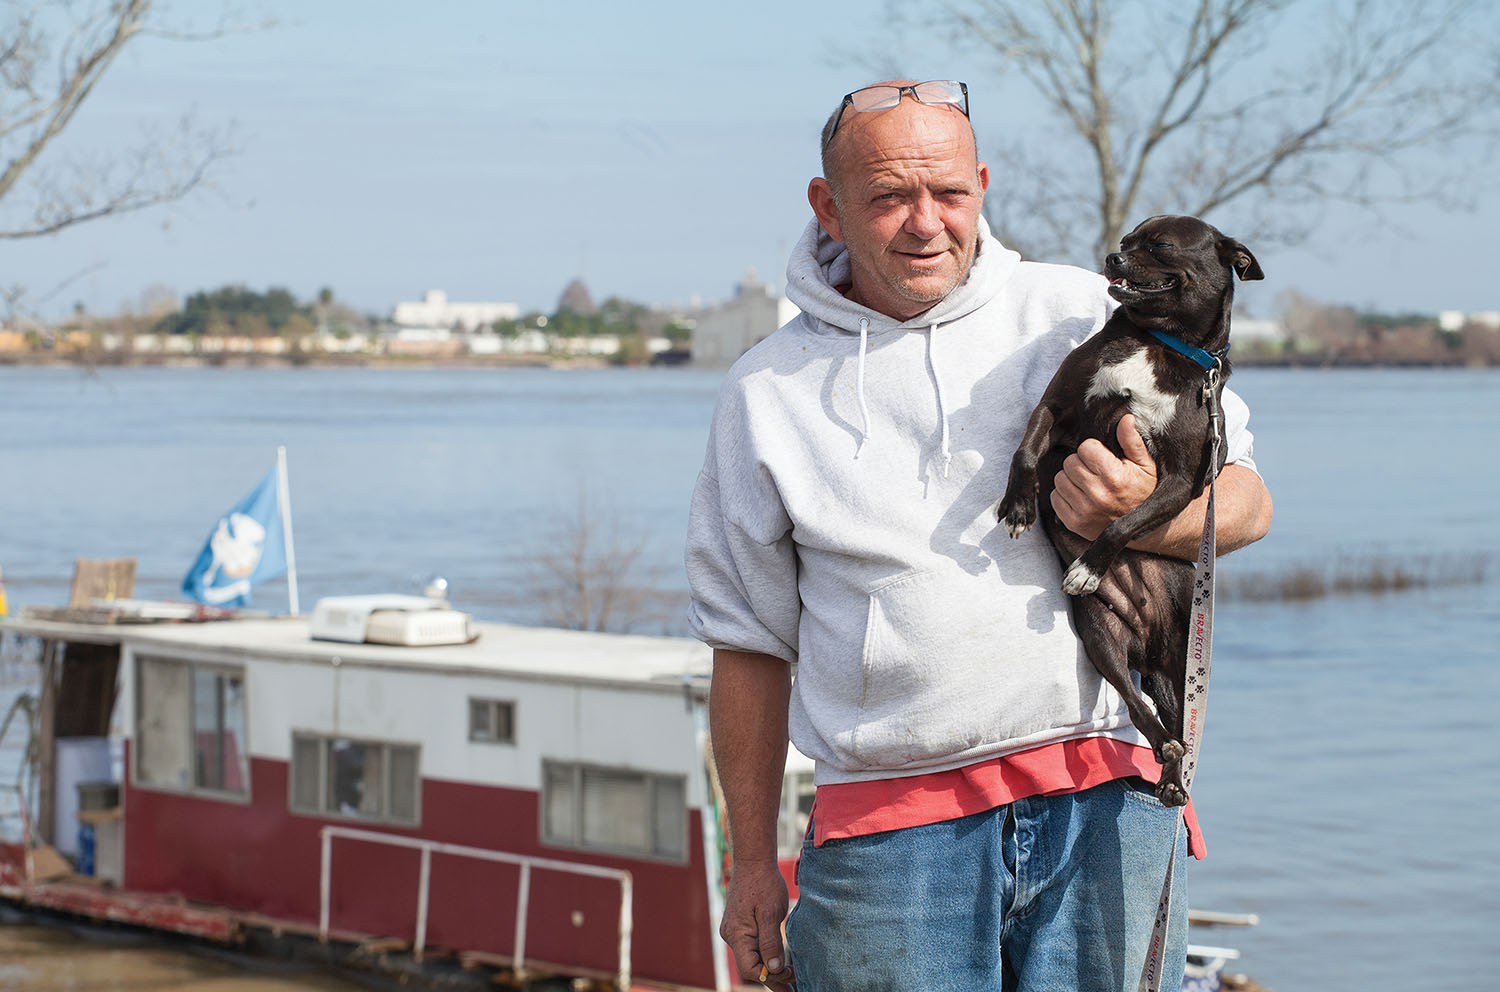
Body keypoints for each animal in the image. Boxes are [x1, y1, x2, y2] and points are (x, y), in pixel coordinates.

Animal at [1002, 216, 1260, 804]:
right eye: (1126, 241)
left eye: (1159, 246)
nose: (1111, 257)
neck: (1159, 342)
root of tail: (1150, 643)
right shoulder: (1056, 407)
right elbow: (1025, 451)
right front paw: (1019, 503)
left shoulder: (1182, 482)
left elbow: (1124, 521)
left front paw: (1088, 566)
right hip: (1101, 636)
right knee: (1149, 714)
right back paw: (1166, 760)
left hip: (1188, 650)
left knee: (1176, 720)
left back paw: (1171, 775)